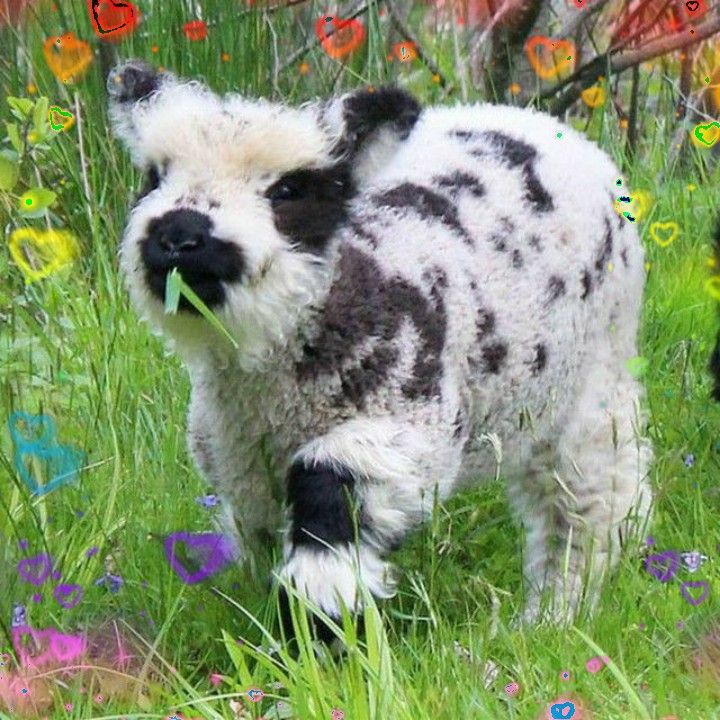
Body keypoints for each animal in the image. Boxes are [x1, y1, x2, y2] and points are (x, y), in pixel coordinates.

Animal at [107, 60, 652, 636]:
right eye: (154, 177)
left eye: (288, 190)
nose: (179, 235)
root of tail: (532, 119)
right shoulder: (238, 465)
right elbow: (259, 538)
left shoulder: (411, 422)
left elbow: (331, 488)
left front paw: (317, 627)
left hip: (596, 376)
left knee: (588, 508)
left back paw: (552, 618)